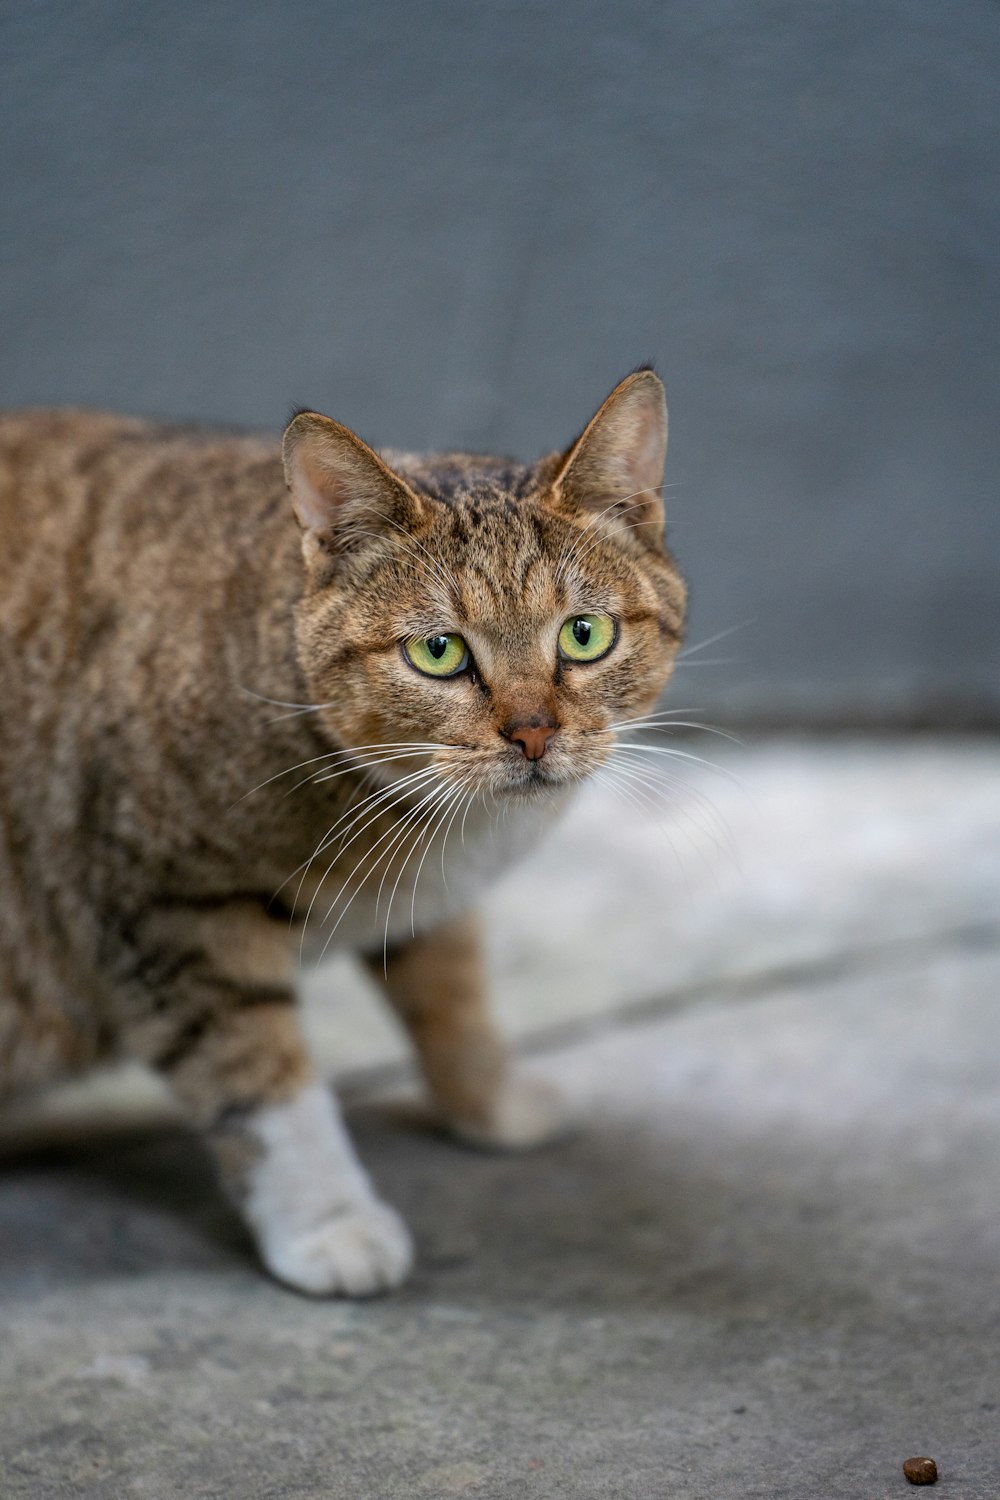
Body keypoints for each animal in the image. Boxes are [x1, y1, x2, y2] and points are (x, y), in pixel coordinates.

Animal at [0, 369, 683, 1296]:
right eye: (439, 652)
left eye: (585, 634)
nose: (534, 734)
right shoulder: (169, 911)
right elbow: (262, 1080)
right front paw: (328, 1222)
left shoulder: (431, 901)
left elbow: (455, 999)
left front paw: (491, 1103)